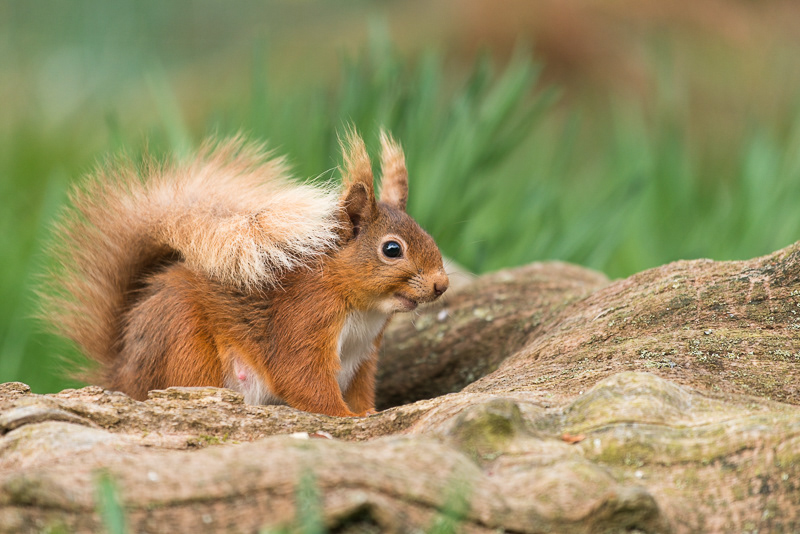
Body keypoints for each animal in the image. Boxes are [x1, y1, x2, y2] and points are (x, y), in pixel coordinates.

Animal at [42, 130, 449, 417]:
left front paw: (367, 412)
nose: (441, 285)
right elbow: (301, 378)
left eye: (428, 234)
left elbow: (360, 391)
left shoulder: (364, 356)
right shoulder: (303, 319)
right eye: (392, 249)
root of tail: (122, 376)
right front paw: (346, 417)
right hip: (185, 346)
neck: (364, 311)